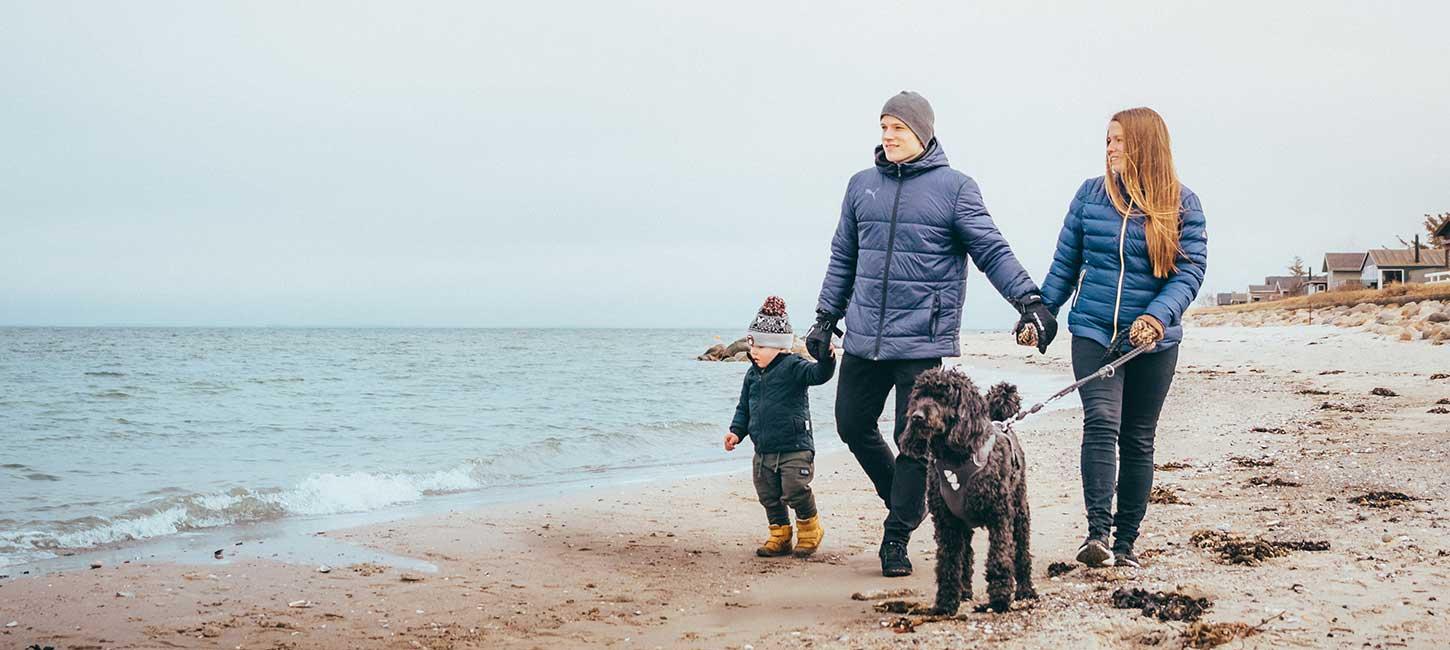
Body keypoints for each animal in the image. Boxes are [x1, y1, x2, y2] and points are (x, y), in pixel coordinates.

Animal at [899, 368, 1038, 612]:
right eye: (919, 395)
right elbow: (949, 562)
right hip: (964, 523)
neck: (955, 457)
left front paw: (1000, 599)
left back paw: (1025, 590)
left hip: (1020, 510)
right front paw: (946, 603)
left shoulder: (999, 515)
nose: (916, 417)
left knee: (1021, 551)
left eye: (942, 397)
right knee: (966, 555)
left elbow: (1000, 558)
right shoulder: (947, 521)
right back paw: (964, 591)